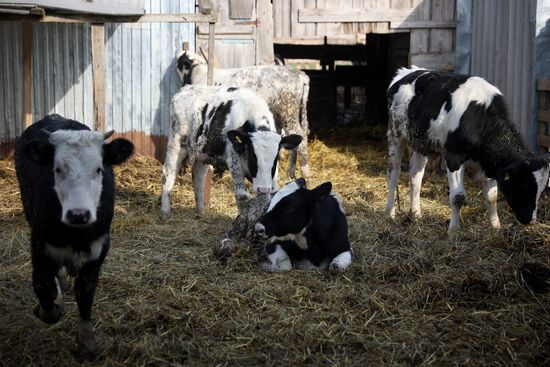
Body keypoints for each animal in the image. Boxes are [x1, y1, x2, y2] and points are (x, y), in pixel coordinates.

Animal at [14, 115, 135, 362]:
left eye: (99, 169)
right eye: (57, 169)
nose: (78, 214)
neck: (76, 235)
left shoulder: (99, 249)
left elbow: (85, 293)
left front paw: (87, 344)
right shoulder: (39, 245)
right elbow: (43, 287)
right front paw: (50, 308)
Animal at [161, 85, 302, 218]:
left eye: (276, 157)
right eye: (253, 156)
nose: (263, 189)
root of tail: (184, 90)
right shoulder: (234, 161)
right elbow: (241, 195)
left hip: (202, 153)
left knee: (198, 177)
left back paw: (201, 211)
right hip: (176, 144)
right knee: (168, 174)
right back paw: (165, 211)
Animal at [176, 50, 310, 180]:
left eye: (181, 62)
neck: (199, 73)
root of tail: (299, 75)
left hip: (289, 113)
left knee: (301, 141)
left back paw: (305, 172)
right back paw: (291, 173)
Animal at [388, 67, 550, 236]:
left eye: (542, 190)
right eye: (523, 185)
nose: (530, 221)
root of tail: (408, 71)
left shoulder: (491, 162)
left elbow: (492, 196)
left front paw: (495, 226)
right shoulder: (454, 158)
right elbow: (457, 197)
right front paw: (453, 231)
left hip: (421, 143)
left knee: (415, 176)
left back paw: (415, 214)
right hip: (395, 134)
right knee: (394, 173)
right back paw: (390, 214)